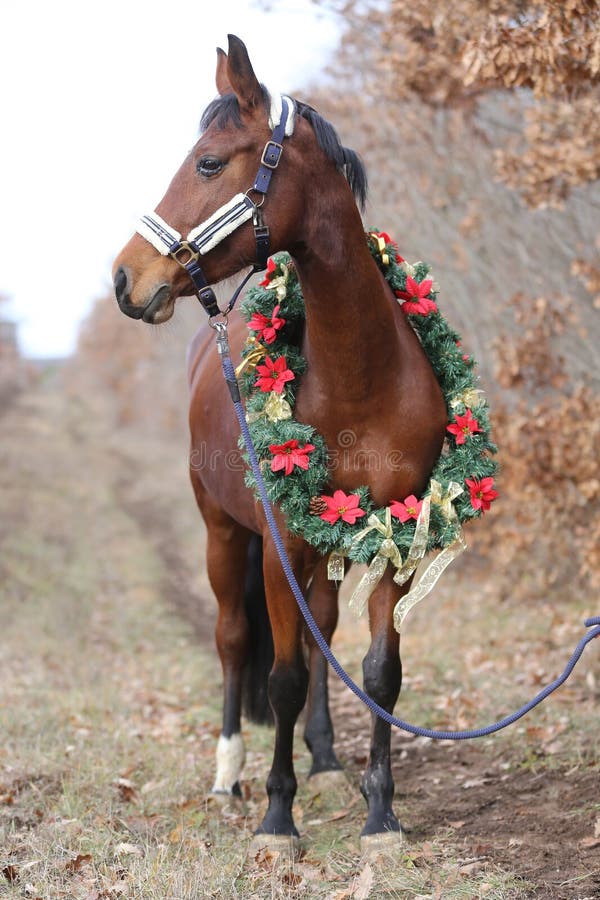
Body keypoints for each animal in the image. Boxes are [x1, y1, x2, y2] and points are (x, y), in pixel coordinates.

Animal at [115, 33, 448, 852]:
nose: (125, 278)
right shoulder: (278, 542)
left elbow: (379, 673)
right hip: (223, 534)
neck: (363, 377)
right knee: (237, 641)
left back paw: (324, 757)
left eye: (208, 163)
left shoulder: (397, 535)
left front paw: (381, 814)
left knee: (319, 632)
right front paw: (276, 816)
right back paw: (229, 774)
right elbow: (283, 676)